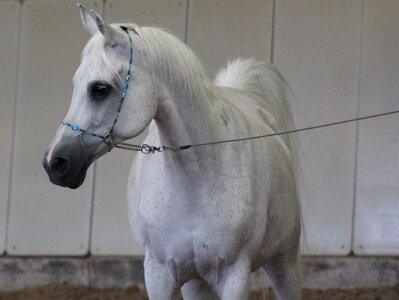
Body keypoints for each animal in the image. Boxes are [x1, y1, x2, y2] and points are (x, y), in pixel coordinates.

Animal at [43, 5, 300, 300]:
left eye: (100, 88)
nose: (54, 163)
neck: (195, 179)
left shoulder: (235, 276)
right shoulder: (159, 275)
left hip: (284, 264)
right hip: (195, 282)